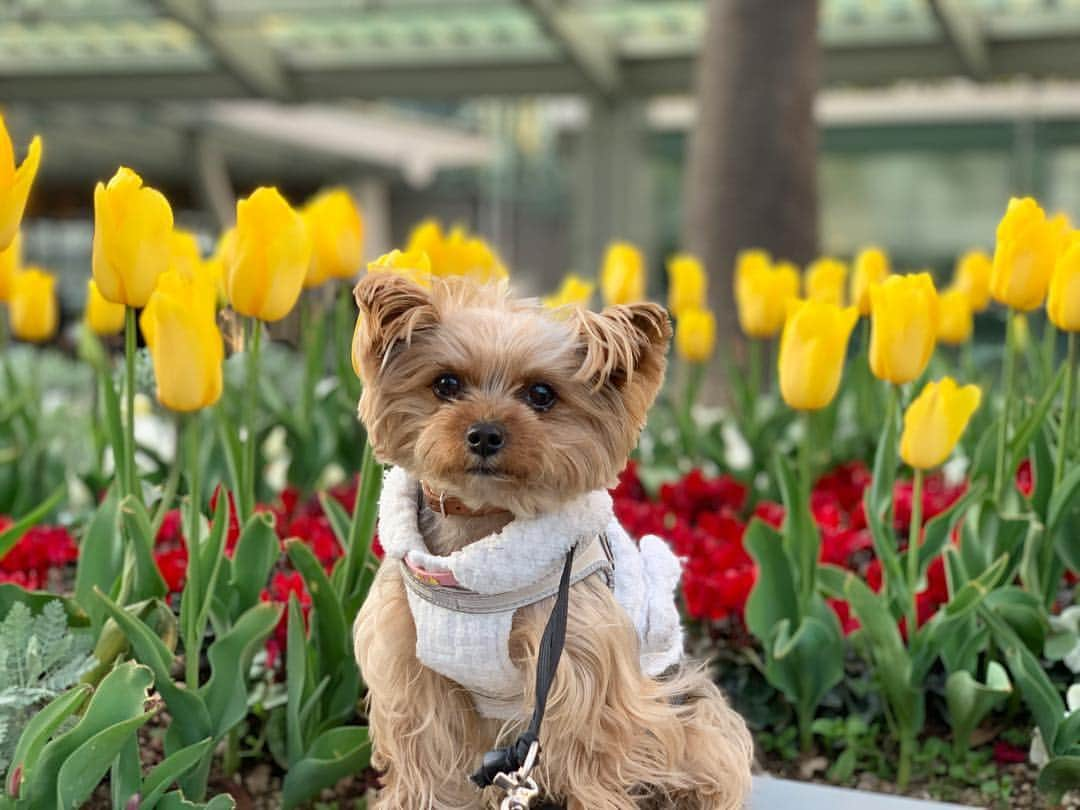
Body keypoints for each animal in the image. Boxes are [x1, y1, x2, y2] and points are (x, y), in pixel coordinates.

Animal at [352, 274, 751, 810]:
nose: (484, 434)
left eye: (541, 394)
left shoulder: (576, 666)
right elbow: (425, 759)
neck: (480, 528)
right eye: (445, 384)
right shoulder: (411, 668)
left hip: (688, 717)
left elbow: (590, 759)